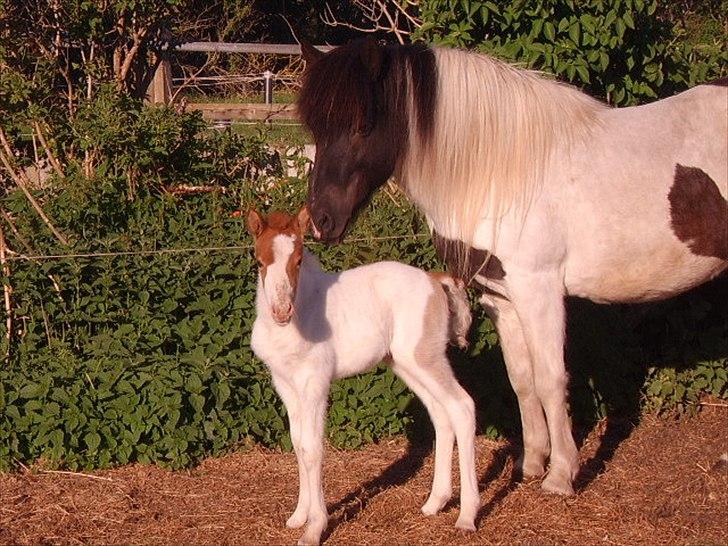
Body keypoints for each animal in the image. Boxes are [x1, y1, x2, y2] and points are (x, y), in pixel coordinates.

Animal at [247, 206, 480, 540]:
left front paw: (315, 527)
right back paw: (435, 502)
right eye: (259, 261)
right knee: (442, 414)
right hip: (406, 364)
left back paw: (467, 515)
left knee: (462, 406)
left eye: (299, 260)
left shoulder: (315, 381)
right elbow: (297, 443)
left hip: (425, 358)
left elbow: (312, 448)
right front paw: (298, 516)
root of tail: (435, 280)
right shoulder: (285, 384)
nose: (281, 311)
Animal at [298, 38, 728, 496]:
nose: (321, 219)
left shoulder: (539, 289)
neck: (501, 173)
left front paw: (561, 475)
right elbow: (521, 380)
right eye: (316, 129)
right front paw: (532, 463)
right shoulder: (500, 296)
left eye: (363, 126)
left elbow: (550, 378)